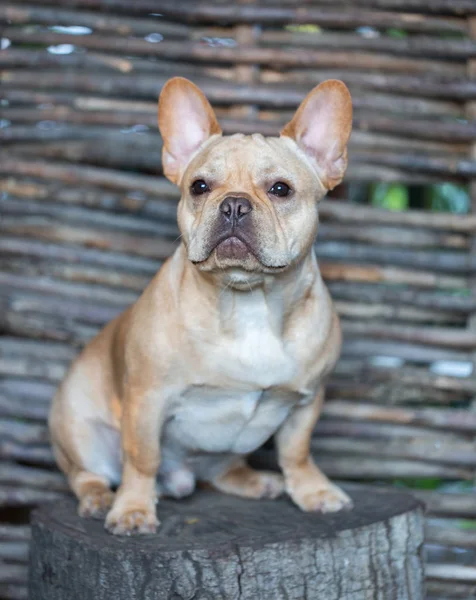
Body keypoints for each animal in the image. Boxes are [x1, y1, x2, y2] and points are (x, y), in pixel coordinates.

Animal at [49, 76, 354, 536]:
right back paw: (102, 499)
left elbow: (297, 451)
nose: (234, 203)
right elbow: (142, 457)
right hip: (79, 429)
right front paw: (134, 509)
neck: (248, 300)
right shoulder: (148, 399)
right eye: (200, 187)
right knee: (87, 473)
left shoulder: (307, 400)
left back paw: (254, 480)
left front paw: (313, 491)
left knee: (223, 469)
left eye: (280, 189)